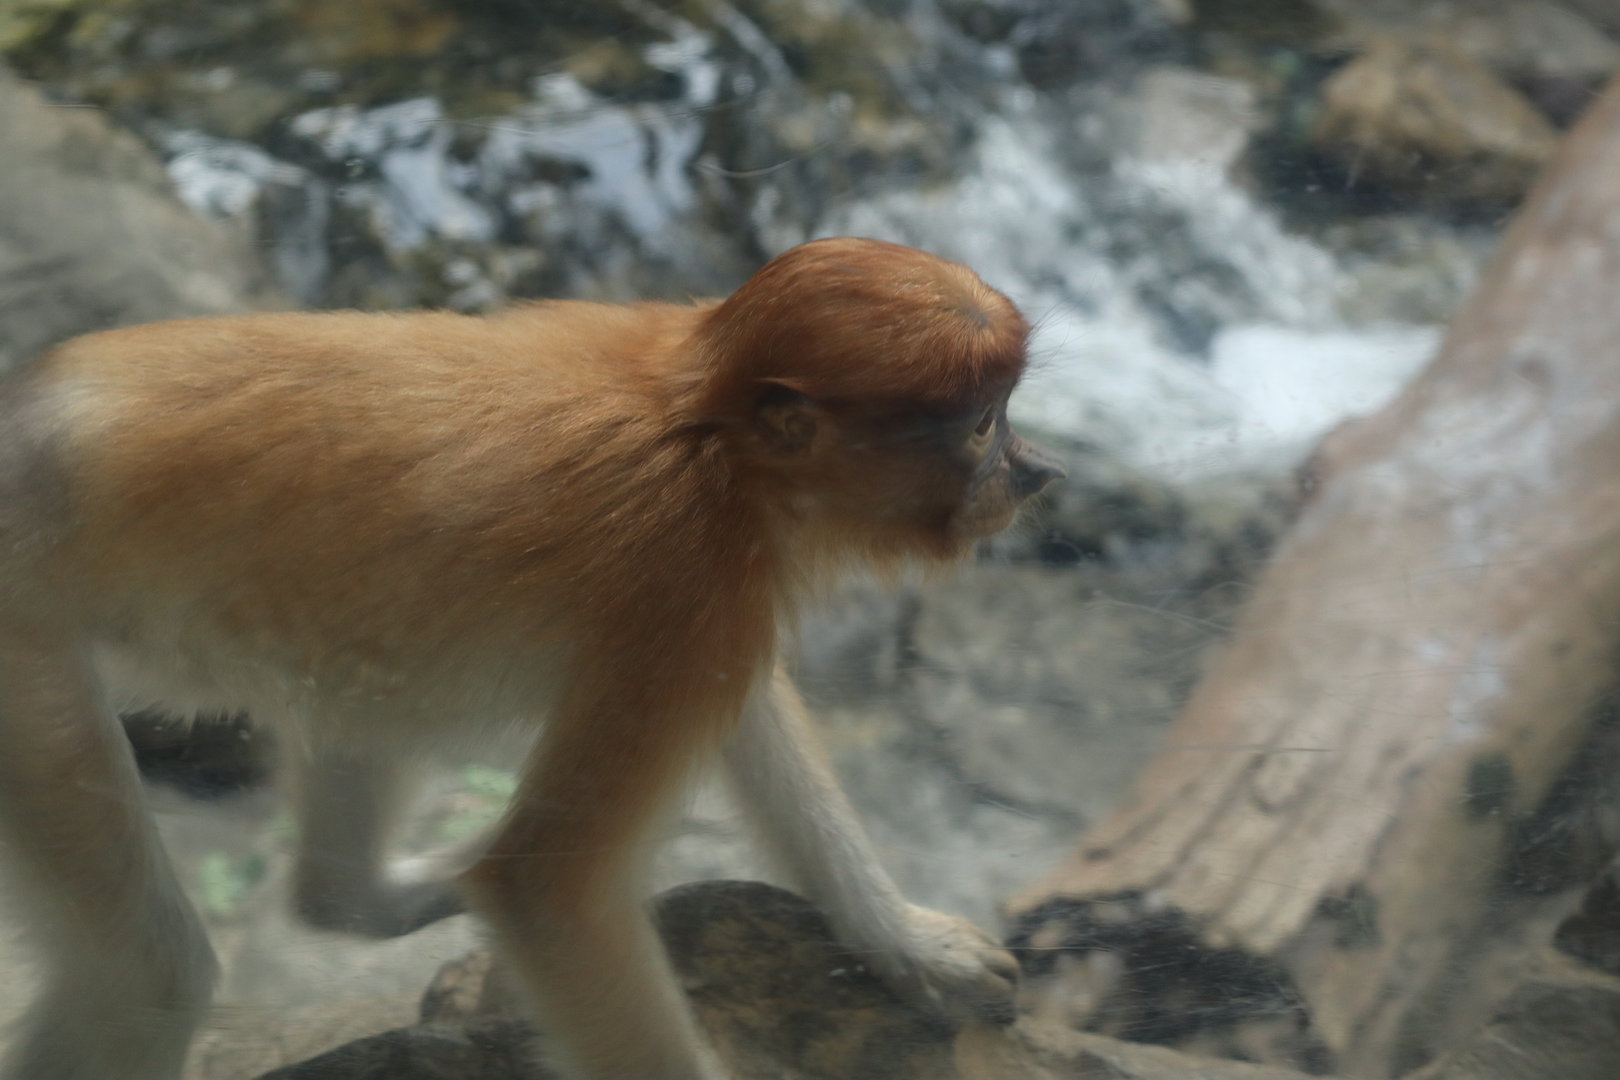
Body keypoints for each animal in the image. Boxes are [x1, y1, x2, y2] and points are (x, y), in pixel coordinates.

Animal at [0, 236, 1065, 1080]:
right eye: (983, 425)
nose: (1038, 470)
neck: (703, 421)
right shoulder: (689, 577)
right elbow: (549, 895)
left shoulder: (714, 592)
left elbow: (751, 722)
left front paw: (909, 945)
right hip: (24, 640)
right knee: (151, 969)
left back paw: (376, 893)